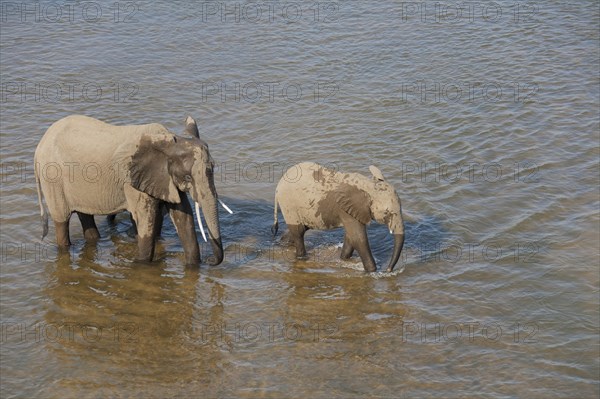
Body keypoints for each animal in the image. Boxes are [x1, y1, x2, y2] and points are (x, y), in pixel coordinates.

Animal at [35, 115, 223, 266]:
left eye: (214, 168)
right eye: (188, 178)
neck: (168, 141)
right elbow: (145, 219)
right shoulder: (132, 181)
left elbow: (183, 216)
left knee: (85, 215)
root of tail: (39, 146)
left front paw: (193, 266)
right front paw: (140, 264)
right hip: (52, 178)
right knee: (62, 220)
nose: (210, 261)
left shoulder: (165, 179)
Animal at [270, 162, 404, 272]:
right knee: (298, 232)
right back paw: (302, 257)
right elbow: (358, 238)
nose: (388, 269)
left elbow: (351, 236)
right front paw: (373, 272)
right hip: (289, 204)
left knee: (301, 229)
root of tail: (277, 187)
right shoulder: (346, 209)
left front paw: (343, 259)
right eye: (387, 213)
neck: (368, 186)